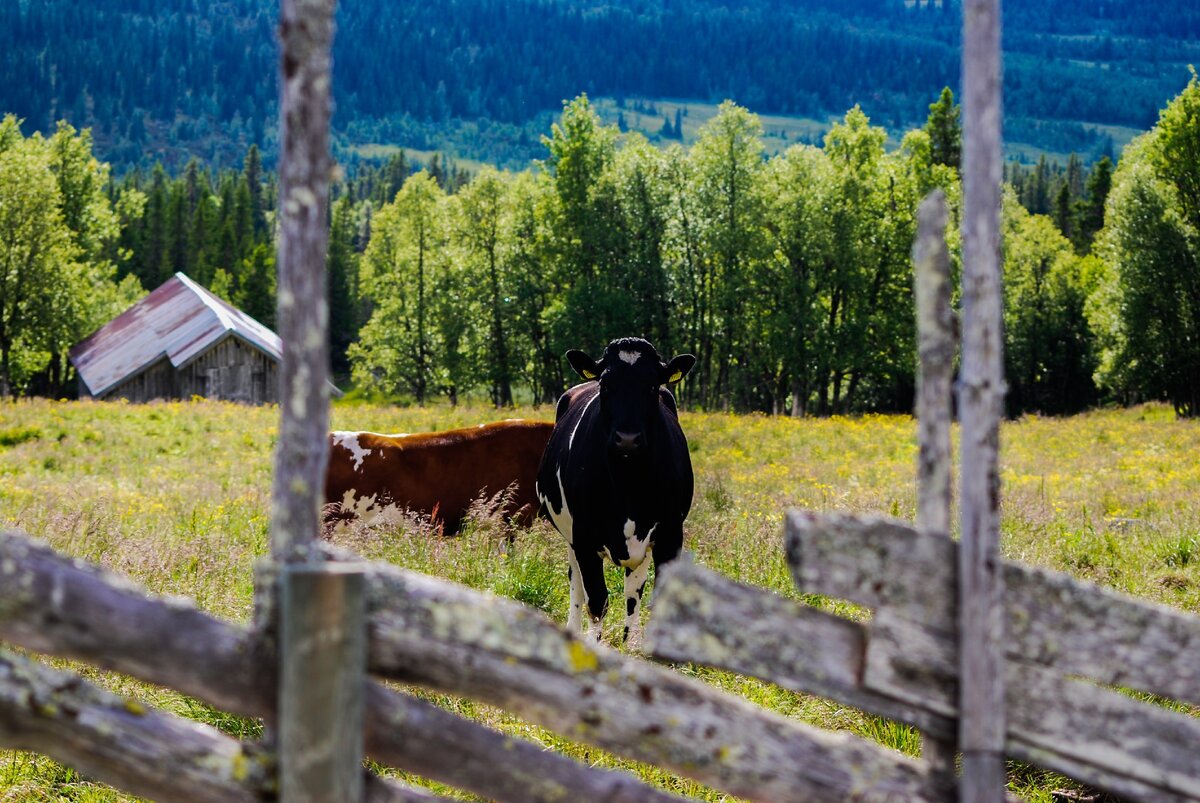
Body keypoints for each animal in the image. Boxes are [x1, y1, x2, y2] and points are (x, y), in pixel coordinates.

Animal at [535, 336, 696, 643]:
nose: (628, 438)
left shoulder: (670, 533)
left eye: (652, 385)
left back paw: (629, 638)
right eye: (606, 384)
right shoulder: (584, 538)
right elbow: (597, 601)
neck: (629, 484)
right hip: (571, 537)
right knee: (576, 584)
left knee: (633, 590)